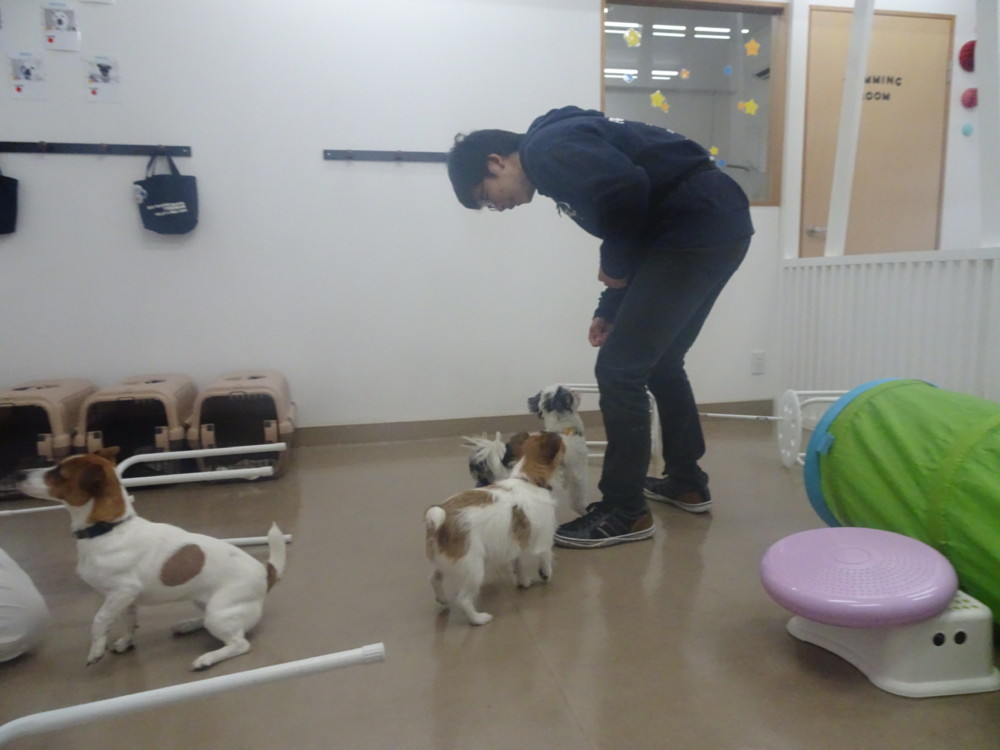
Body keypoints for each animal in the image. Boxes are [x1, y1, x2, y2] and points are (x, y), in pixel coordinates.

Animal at [17, 448, 286, 671]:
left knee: (240, 643)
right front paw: (125, 642)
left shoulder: (122, 592)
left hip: (220, 613)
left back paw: (207, 659)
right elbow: (128, 622)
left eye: (58, 473)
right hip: (205, 604)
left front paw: (96, 650)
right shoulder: (125, 600)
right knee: (210, 623)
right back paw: (187, 624)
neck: (109, 529)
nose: (18, 473)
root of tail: (267, 571)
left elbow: (99, 621)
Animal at [426, 431, 564, 625]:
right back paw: (478, 618)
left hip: (447, 561)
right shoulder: (543, 535)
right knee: (463, 599)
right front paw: (546, 573)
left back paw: (442, 599)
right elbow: (545, 556)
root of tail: (440, 521)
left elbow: (517, 562)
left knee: (434, 578)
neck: (528, 479)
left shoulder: (515, 540)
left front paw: (522, 581)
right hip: (474, 570)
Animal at [463, 385, 589, 515]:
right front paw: (582, 510)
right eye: (569, 394)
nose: (574, 390)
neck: (563, 430)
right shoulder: (578, 471)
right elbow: (578, 495)